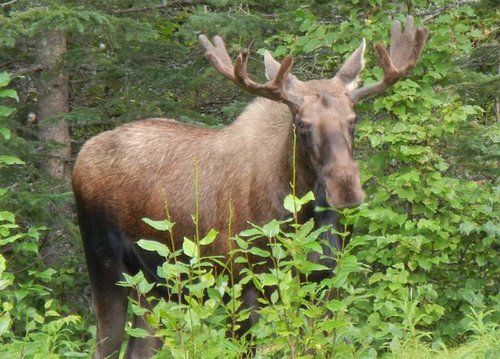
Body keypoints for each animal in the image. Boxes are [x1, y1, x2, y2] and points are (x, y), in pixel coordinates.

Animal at [72, 16, 428, 359]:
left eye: (353, 120)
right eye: (302, 123)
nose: (346, 188)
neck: (302, 214)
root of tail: (81, 155)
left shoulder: (325, 281)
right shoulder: (240, 283)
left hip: (157, 286)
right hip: (107, 266)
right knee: (104, 346)